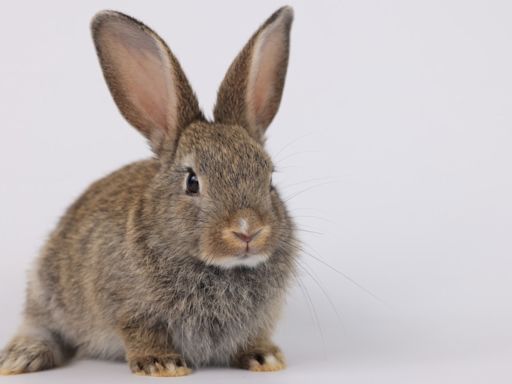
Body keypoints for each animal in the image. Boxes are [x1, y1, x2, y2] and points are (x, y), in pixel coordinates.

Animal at [0, 5, 298, 378]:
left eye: (269, 178)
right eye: (192, 182)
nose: (248, 230)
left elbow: (252, 336)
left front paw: (265, 358)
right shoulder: (129, 309)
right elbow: (141, 332)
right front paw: (163, 363)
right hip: (48, 289)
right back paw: (21, 357)